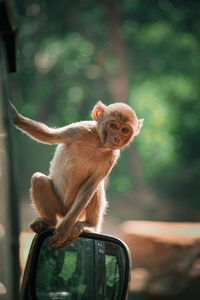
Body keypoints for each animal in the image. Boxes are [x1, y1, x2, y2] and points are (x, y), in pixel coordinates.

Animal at [10, 102, 143, 247]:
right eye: (113, 126)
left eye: (125, 130)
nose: (117, 138)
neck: (99, 144)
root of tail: (64, 212)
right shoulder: (80, 130)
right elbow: (49, 136)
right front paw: (15, 115)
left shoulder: (112, 157)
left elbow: (91, 186)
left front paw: (65, 228)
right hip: (59, 205)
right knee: (39, 180)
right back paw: (48, 222)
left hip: (76, 213)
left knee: (96, 188)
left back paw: (89, 225)